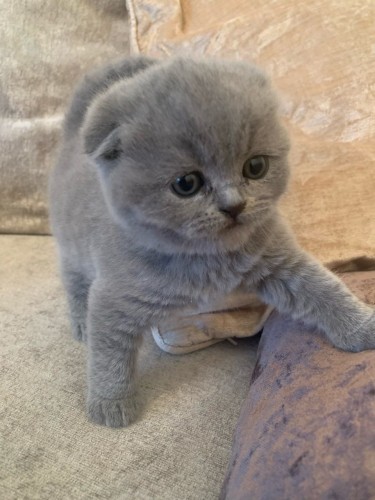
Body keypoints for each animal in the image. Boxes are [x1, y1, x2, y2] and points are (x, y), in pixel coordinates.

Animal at [50, 56, 375, 428]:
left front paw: (362, 326)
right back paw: (80, 323)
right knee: (74, 281)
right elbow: (109, 352)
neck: (208, 258)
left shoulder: (280, 262)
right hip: (70, 246)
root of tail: (73, 133)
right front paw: (111, 403)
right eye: (186, 184)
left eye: (256, 166)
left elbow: (324, 290)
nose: (234, 205)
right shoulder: (116, 296)